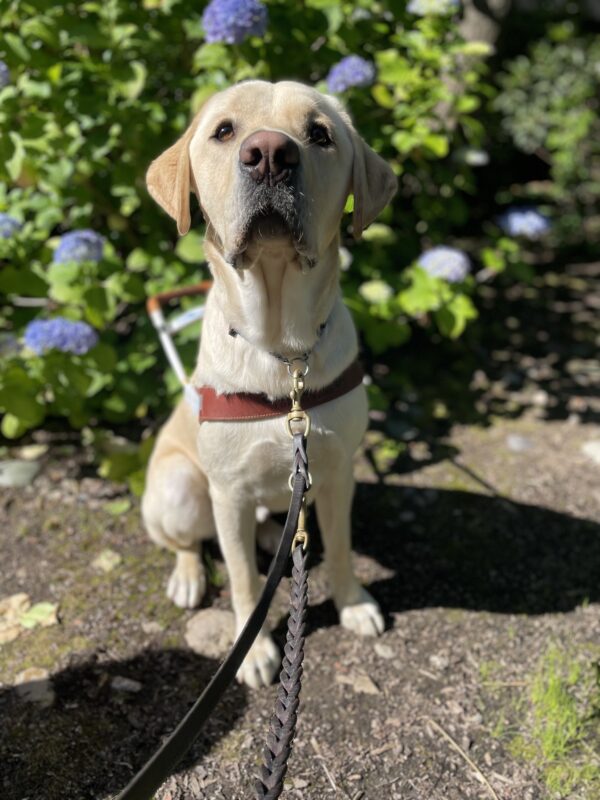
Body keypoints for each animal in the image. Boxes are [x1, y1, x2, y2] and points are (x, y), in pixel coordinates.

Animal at [141, 79, 398, 688]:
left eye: (320, 134)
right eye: (224, 130)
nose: (269, 155)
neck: (284, 352)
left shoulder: (336, 472)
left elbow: (342, 546)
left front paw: (353, 603)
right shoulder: (229, 493)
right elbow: (241, 578)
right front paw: (253, 649)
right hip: (179, 489)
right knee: (186, 543)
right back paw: (188, 576)